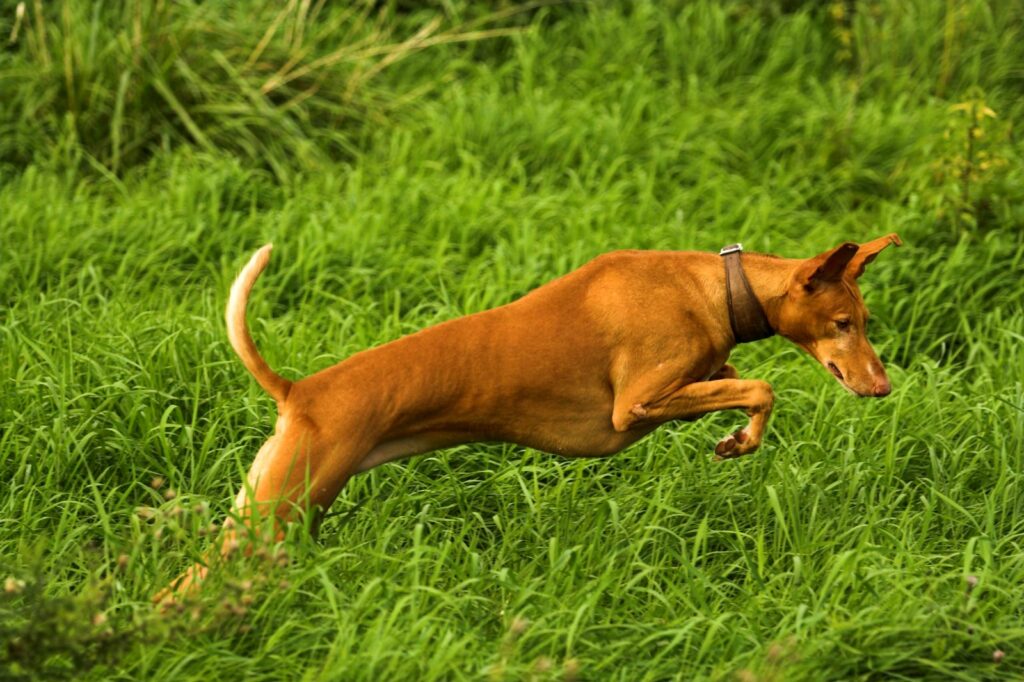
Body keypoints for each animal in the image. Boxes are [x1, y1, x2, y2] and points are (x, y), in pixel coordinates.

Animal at [155, 232, 901, 593]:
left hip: (275, 511)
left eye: (864, 321)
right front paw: (740, 439)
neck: (714, 287)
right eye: (841, 324)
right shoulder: (635, 406)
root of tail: (299, 392)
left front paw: (734, 434)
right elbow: (762, 389)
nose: (883, 388)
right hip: (275, 512)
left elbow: (735, 382)